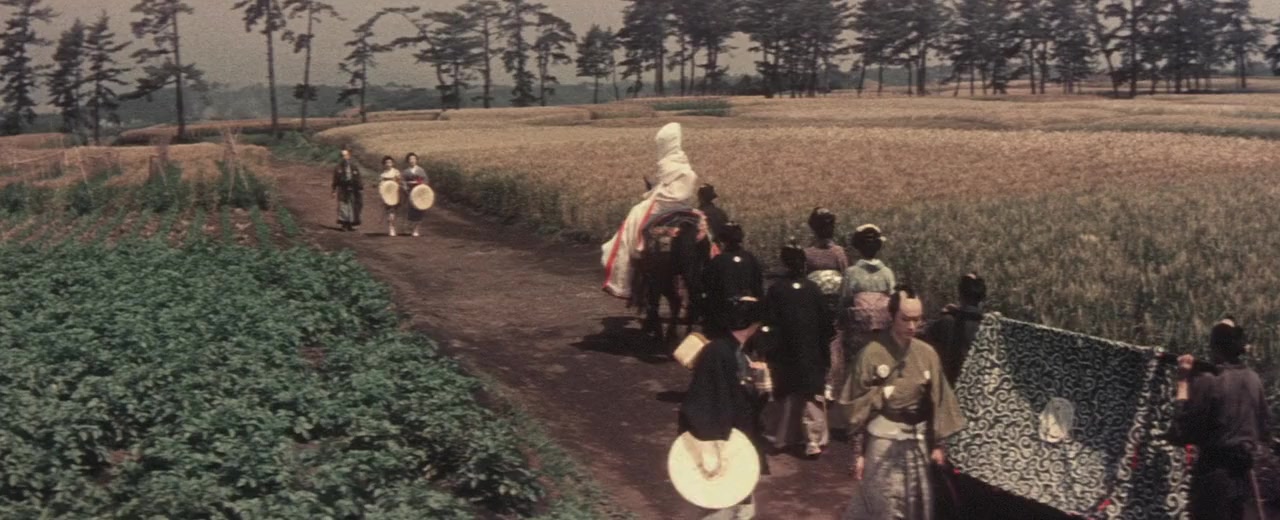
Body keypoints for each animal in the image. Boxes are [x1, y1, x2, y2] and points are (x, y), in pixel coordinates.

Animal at [628, 209, 711, 347]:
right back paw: (687, 334)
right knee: (693, 299)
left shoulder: (658, 277)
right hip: (693, 272)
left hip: (666, 276)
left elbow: (656, 302)